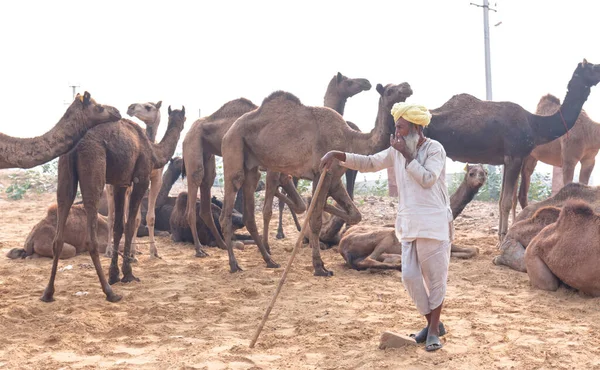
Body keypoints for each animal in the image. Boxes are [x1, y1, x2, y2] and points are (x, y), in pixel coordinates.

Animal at [104, 99, 163, 258]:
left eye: (149, 107)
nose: (131, 107)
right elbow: (133, 218)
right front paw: (132, 252)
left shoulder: (157, 179)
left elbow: (148, 217)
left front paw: (153, 251)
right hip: (111, 183)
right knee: (111, 217)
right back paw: (109, 250)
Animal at [219, 83, 412, 274]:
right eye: (390, 90)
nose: (407, 87)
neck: (350, 139)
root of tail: (228, 131)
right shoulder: (322, 173)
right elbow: (316, 220)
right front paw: (319, 267)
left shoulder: (334, 177)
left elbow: (354, 215)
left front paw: (322, 205)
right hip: (233, 147)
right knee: (229, 205)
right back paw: (234, 264)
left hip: (251, 165)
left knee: (250, 213)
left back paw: (269, 260)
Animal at [338, 163, 488, 270]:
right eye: (471, 173)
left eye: (485, 172)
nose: (481, 179)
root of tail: (343, 247)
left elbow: (474, 249)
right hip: (384, 236)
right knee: (370, 258)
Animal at [422, 59, 600, 241]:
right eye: (594, 67)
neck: (535, 125)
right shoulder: (516, 156)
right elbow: (507, 201)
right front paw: (502, 239)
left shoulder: (506, 160)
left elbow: (502, 200)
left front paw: (501, 236)